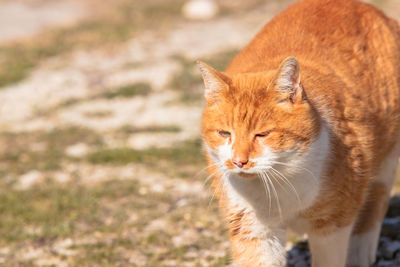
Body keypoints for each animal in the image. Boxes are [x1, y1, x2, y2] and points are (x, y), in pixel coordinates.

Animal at [197, 0, 400, 267]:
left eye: (263, 134)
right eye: (224, 133)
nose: (239, 161)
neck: (276, 182)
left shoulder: (332, 226)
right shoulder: (253, 228)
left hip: (386, 158)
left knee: (376, 199)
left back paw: (360, 251)